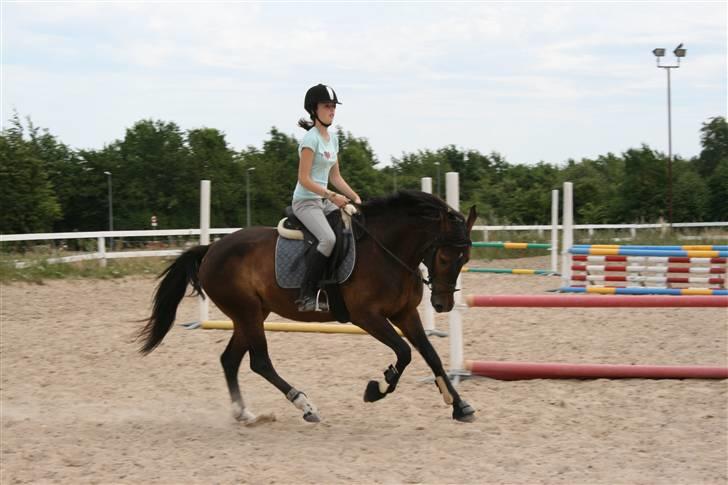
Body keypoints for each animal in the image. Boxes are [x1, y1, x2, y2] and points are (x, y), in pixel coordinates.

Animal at [138, 191, 478, 422]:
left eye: (465, 259)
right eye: (444, 257)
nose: (443, 304)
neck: (388, 251)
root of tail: (211, 248)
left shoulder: (405, 314)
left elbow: (431, 355)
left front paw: (459, 405)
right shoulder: (368, 317)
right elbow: (405, 352)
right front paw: (377, 388)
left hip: (251, 314)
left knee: (230, 360)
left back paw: (244, 413)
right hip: (247, 312)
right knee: (259, 362)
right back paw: (305, 404)